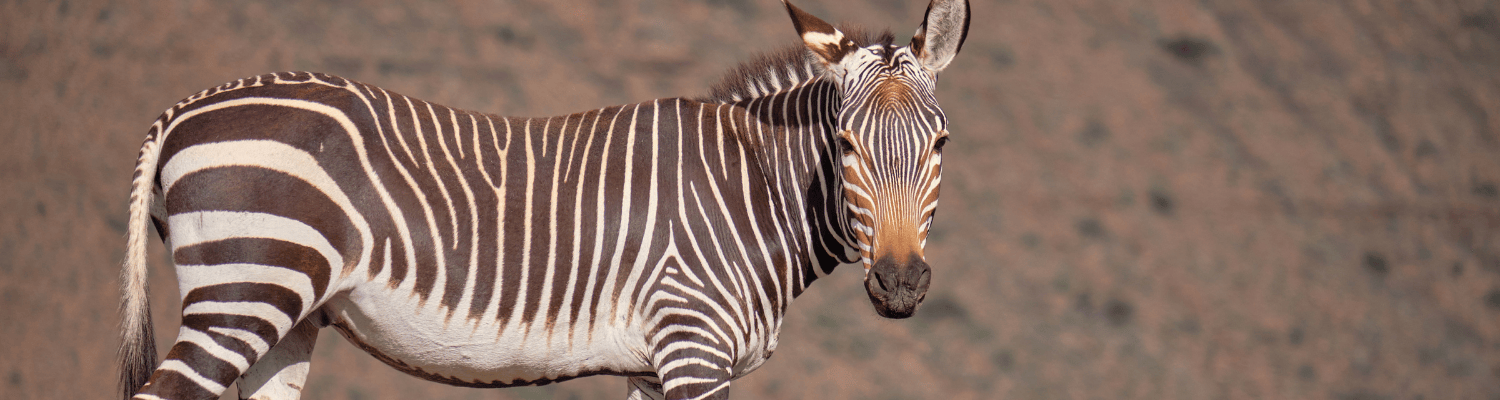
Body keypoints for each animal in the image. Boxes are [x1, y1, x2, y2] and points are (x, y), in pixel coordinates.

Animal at [118, 0, 969, 399]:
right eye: (846, 146)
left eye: (941, 144)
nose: (899, 284)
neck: (749, 191)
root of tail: (184, 109)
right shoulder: (694, 348)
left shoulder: (655, 362)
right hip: (243, 290)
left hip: (286, 315)